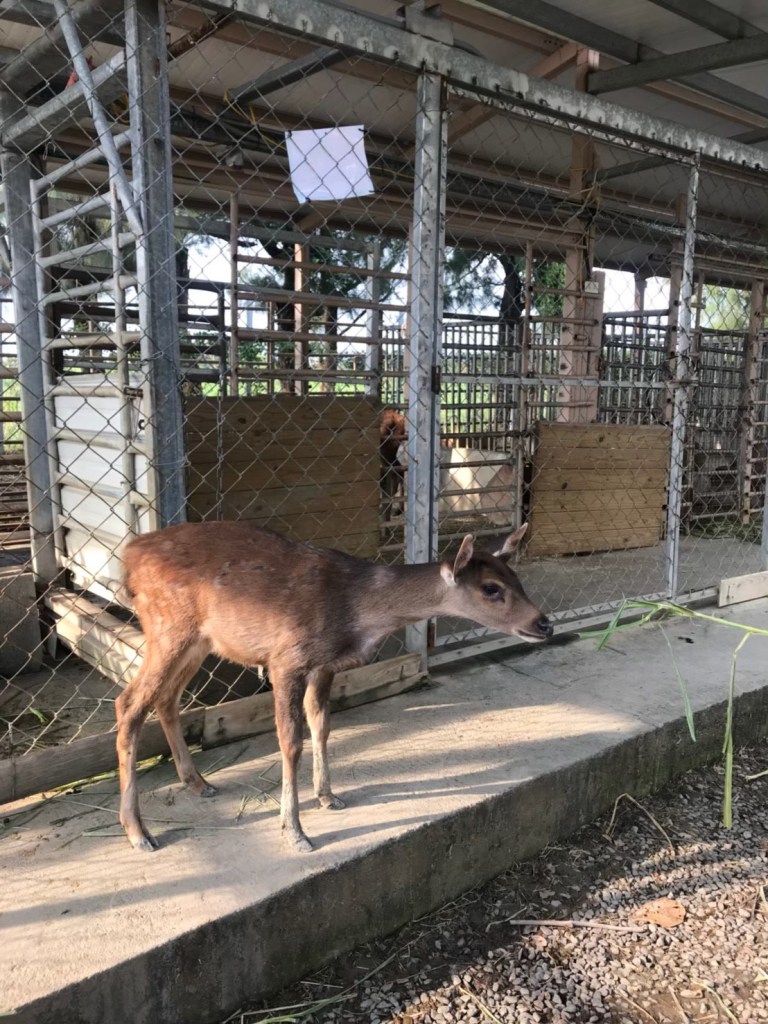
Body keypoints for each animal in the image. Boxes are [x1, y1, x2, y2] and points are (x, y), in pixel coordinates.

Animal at [116, 520, 552, 853]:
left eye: (517, 578)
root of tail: (128, 555)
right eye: (492, 588)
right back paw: (139, 832)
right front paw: (295, 832)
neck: (357, 611)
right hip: (167, 625)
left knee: (166, 698)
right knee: (129, 703)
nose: (544, 623)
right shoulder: (285, 659)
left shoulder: (324, 666)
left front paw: (328, 796)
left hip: (199, 640)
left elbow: (322, 725)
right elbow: (290, 741)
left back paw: (197, 783)